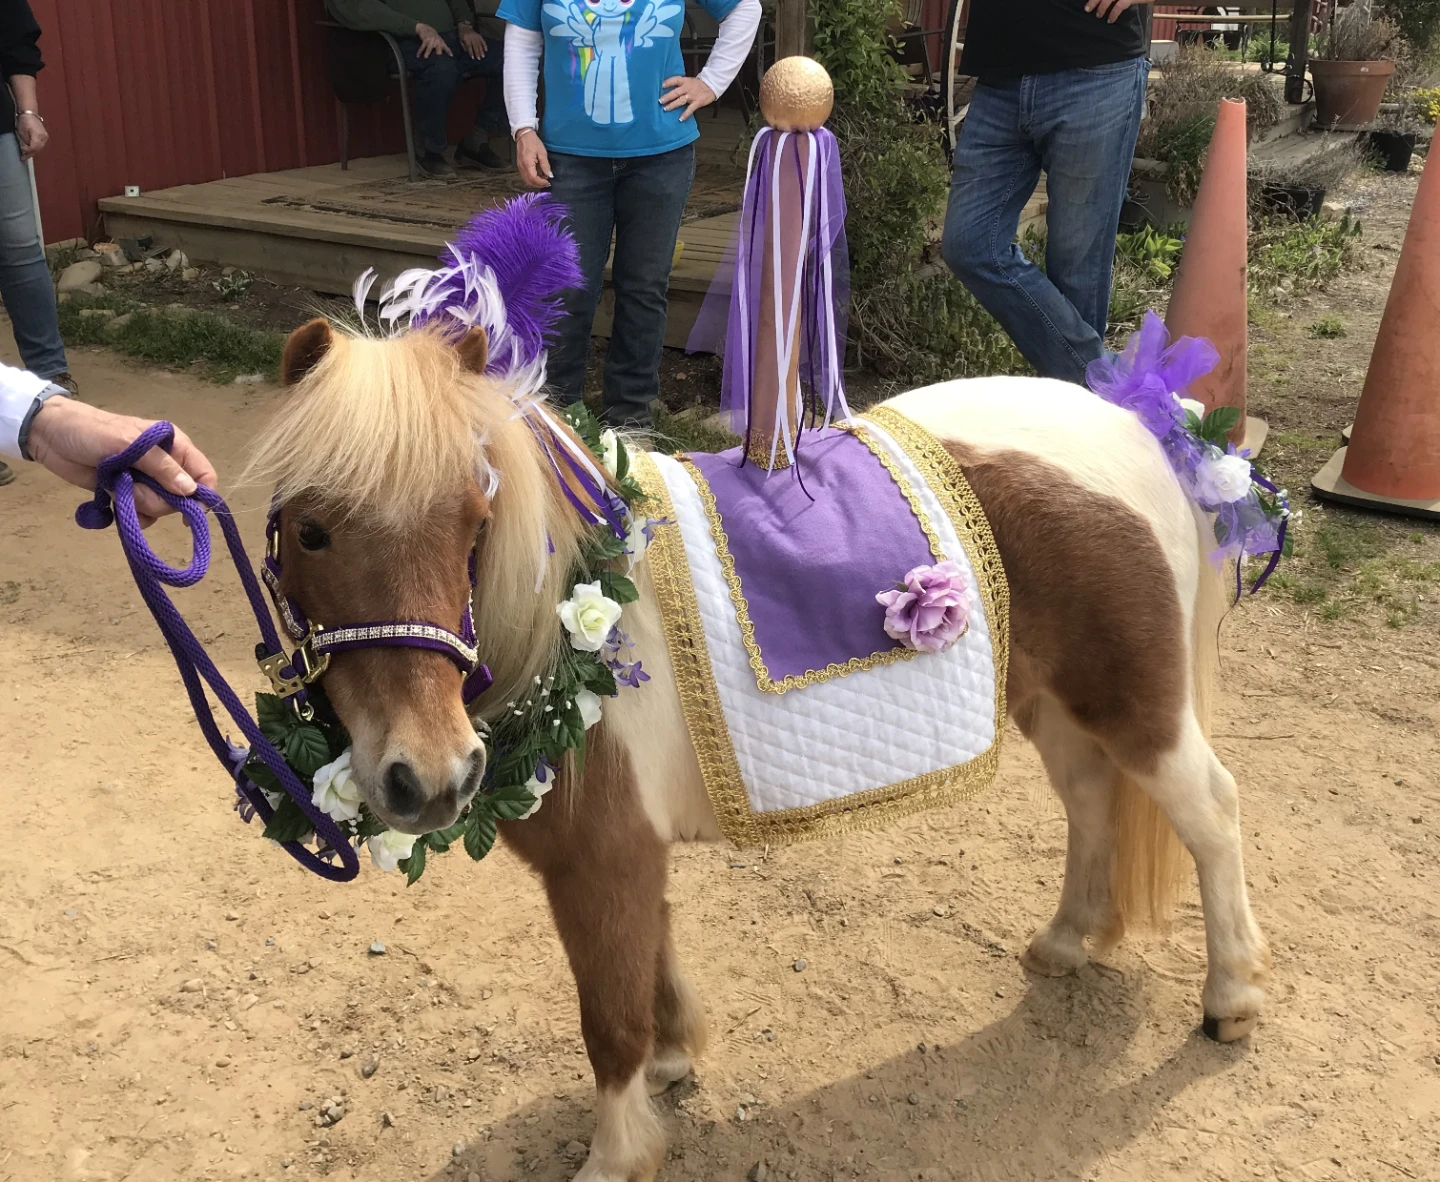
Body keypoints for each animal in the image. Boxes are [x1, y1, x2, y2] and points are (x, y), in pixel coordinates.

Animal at [245, 316, 1270, 1182]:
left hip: (1138, 710)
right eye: (310, 529)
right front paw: (672, 1063)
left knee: (1215, 813)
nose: (430, 778)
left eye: (475, 515)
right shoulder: (624, 861)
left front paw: (618, 1153)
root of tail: (1132, 426)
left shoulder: (601, 862)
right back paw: (1065, 941)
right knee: (1092, 800)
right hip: (1056, 706)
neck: (569, 615)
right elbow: (649, 965)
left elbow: (608, 1014)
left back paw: (1230, 997)